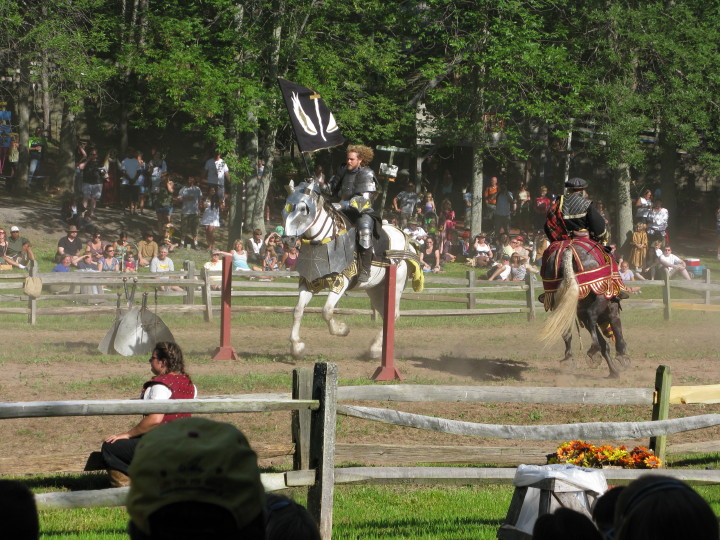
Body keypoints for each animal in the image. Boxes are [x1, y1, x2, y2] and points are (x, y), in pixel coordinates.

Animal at [284, 180, 424, 358]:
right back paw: (377, 348)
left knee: (393, 314)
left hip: (396, 284)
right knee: (385, 314)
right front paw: (297, 346)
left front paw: (342, 329)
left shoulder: (341, 281)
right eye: (287, 206)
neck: (325, 240)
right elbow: (298, 310)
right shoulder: (308, 282)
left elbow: (327, 310)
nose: (287, 240)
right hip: (376, 289)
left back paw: (376, 349)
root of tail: (407, 241)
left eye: (303, 209)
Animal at [540, 238, 632, 378]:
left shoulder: (582, 315)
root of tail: (567, 250)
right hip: (599, 298)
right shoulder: (612, 310)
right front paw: (622, 357)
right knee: (591, 315)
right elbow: (617, 332)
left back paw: (569, 359)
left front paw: (613, 371)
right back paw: (593, 351)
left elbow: (604, 344)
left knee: (565, 328)